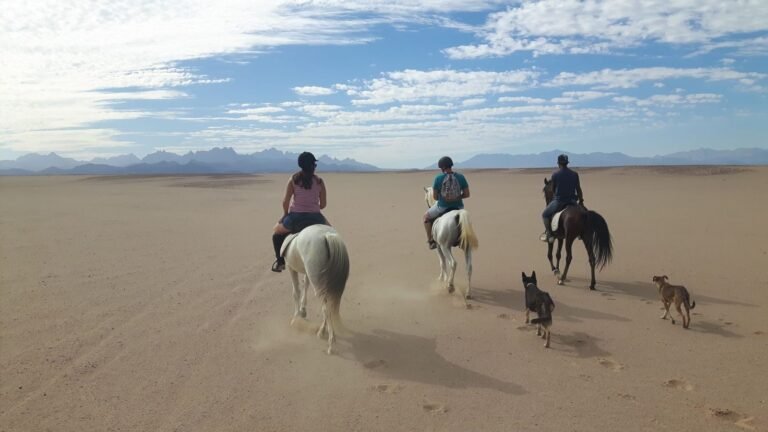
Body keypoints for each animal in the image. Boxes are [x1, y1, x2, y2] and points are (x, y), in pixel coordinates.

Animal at [280, 224, 350, 352]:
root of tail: (327, 236)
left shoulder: (291, 267)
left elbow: (296, 292)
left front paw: (296, 318)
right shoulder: (307, 272)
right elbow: (305, 284)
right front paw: (302, 310)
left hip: (317, 280)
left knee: (325, 307)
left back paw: (330, 341)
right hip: (325, 280)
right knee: (329, 304)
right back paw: (323, 332)